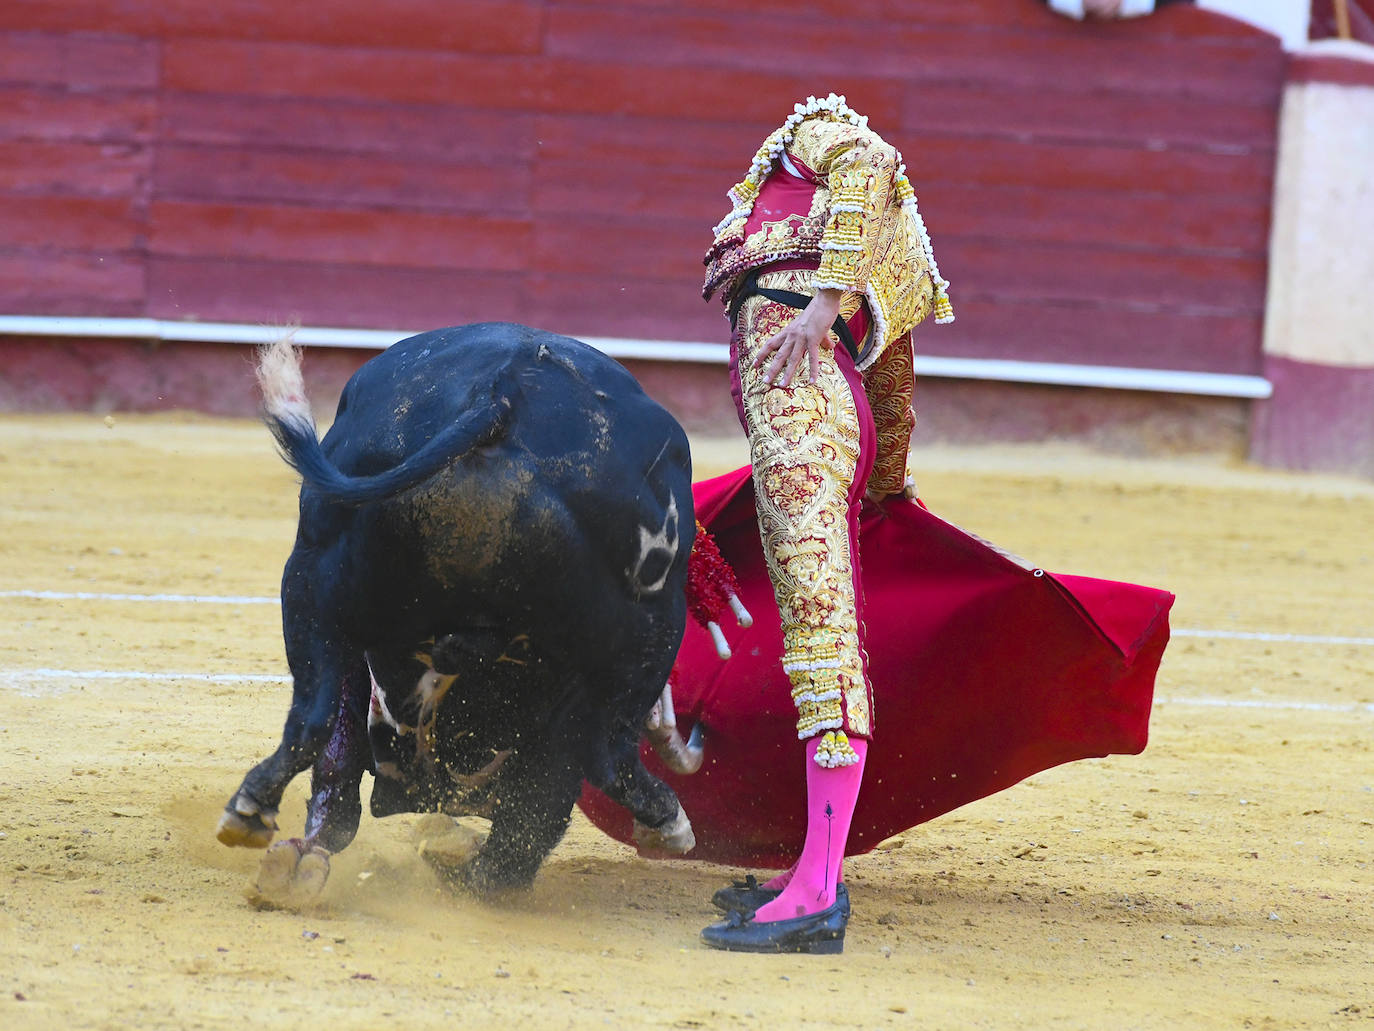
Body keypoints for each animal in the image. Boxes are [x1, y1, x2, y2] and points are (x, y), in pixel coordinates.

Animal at [217, 327, 708, 901]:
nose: (419, 795)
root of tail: (500, 397)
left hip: (309, 576)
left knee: (311, 719)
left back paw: (256, 817)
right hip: (656, 623)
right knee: (607, 754)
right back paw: (669, 823)